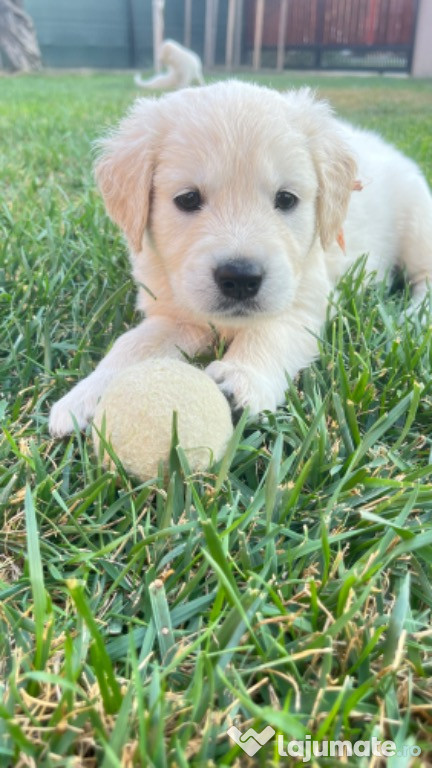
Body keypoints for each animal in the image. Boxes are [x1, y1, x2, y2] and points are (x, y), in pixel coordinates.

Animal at [49, 80, 432, 438]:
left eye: (286, 199)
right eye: (188, 199)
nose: (240, 279)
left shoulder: (309, 297)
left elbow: (271, 330)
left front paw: (240, 377)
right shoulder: (173, 313)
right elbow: (133, 345)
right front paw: (87, 395)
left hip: (419, 226)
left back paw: (413, 317)